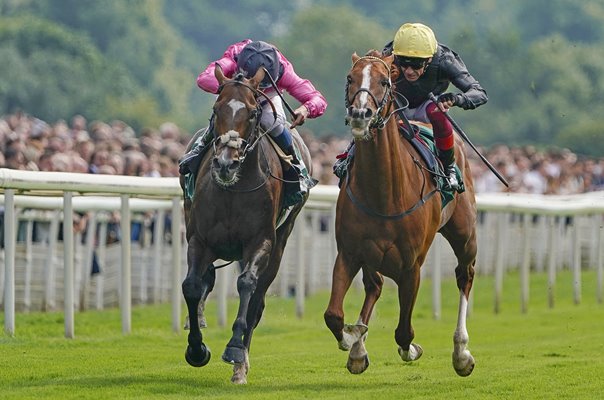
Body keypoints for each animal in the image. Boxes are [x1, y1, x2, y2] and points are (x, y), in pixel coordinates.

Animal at [179, 65, 312, 384]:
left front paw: (235, 350)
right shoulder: (199, 239)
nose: (226, 163)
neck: (233, 190)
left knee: (257, 299)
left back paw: (241, 365)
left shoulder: (260, 241)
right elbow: (192, 285)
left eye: (252, 113)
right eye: (216, 108)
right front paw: (197, 350)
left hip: (281, 241)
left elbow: (247, 285)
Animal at [324, 51, 478, 376]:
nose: (361, 114)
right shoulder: (349, 253)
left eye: (384, 81)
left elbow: (404, 333)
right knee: (374, 286)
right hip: (371, 256)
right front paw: (353, 339)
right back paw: (358, 349)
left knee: (465, 275)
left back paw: (461, 353)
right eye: (350, 78)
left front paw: (412, 350)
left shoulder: (411, 267)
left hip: (465, 234)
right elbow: (333, 314)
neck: (384, 194)